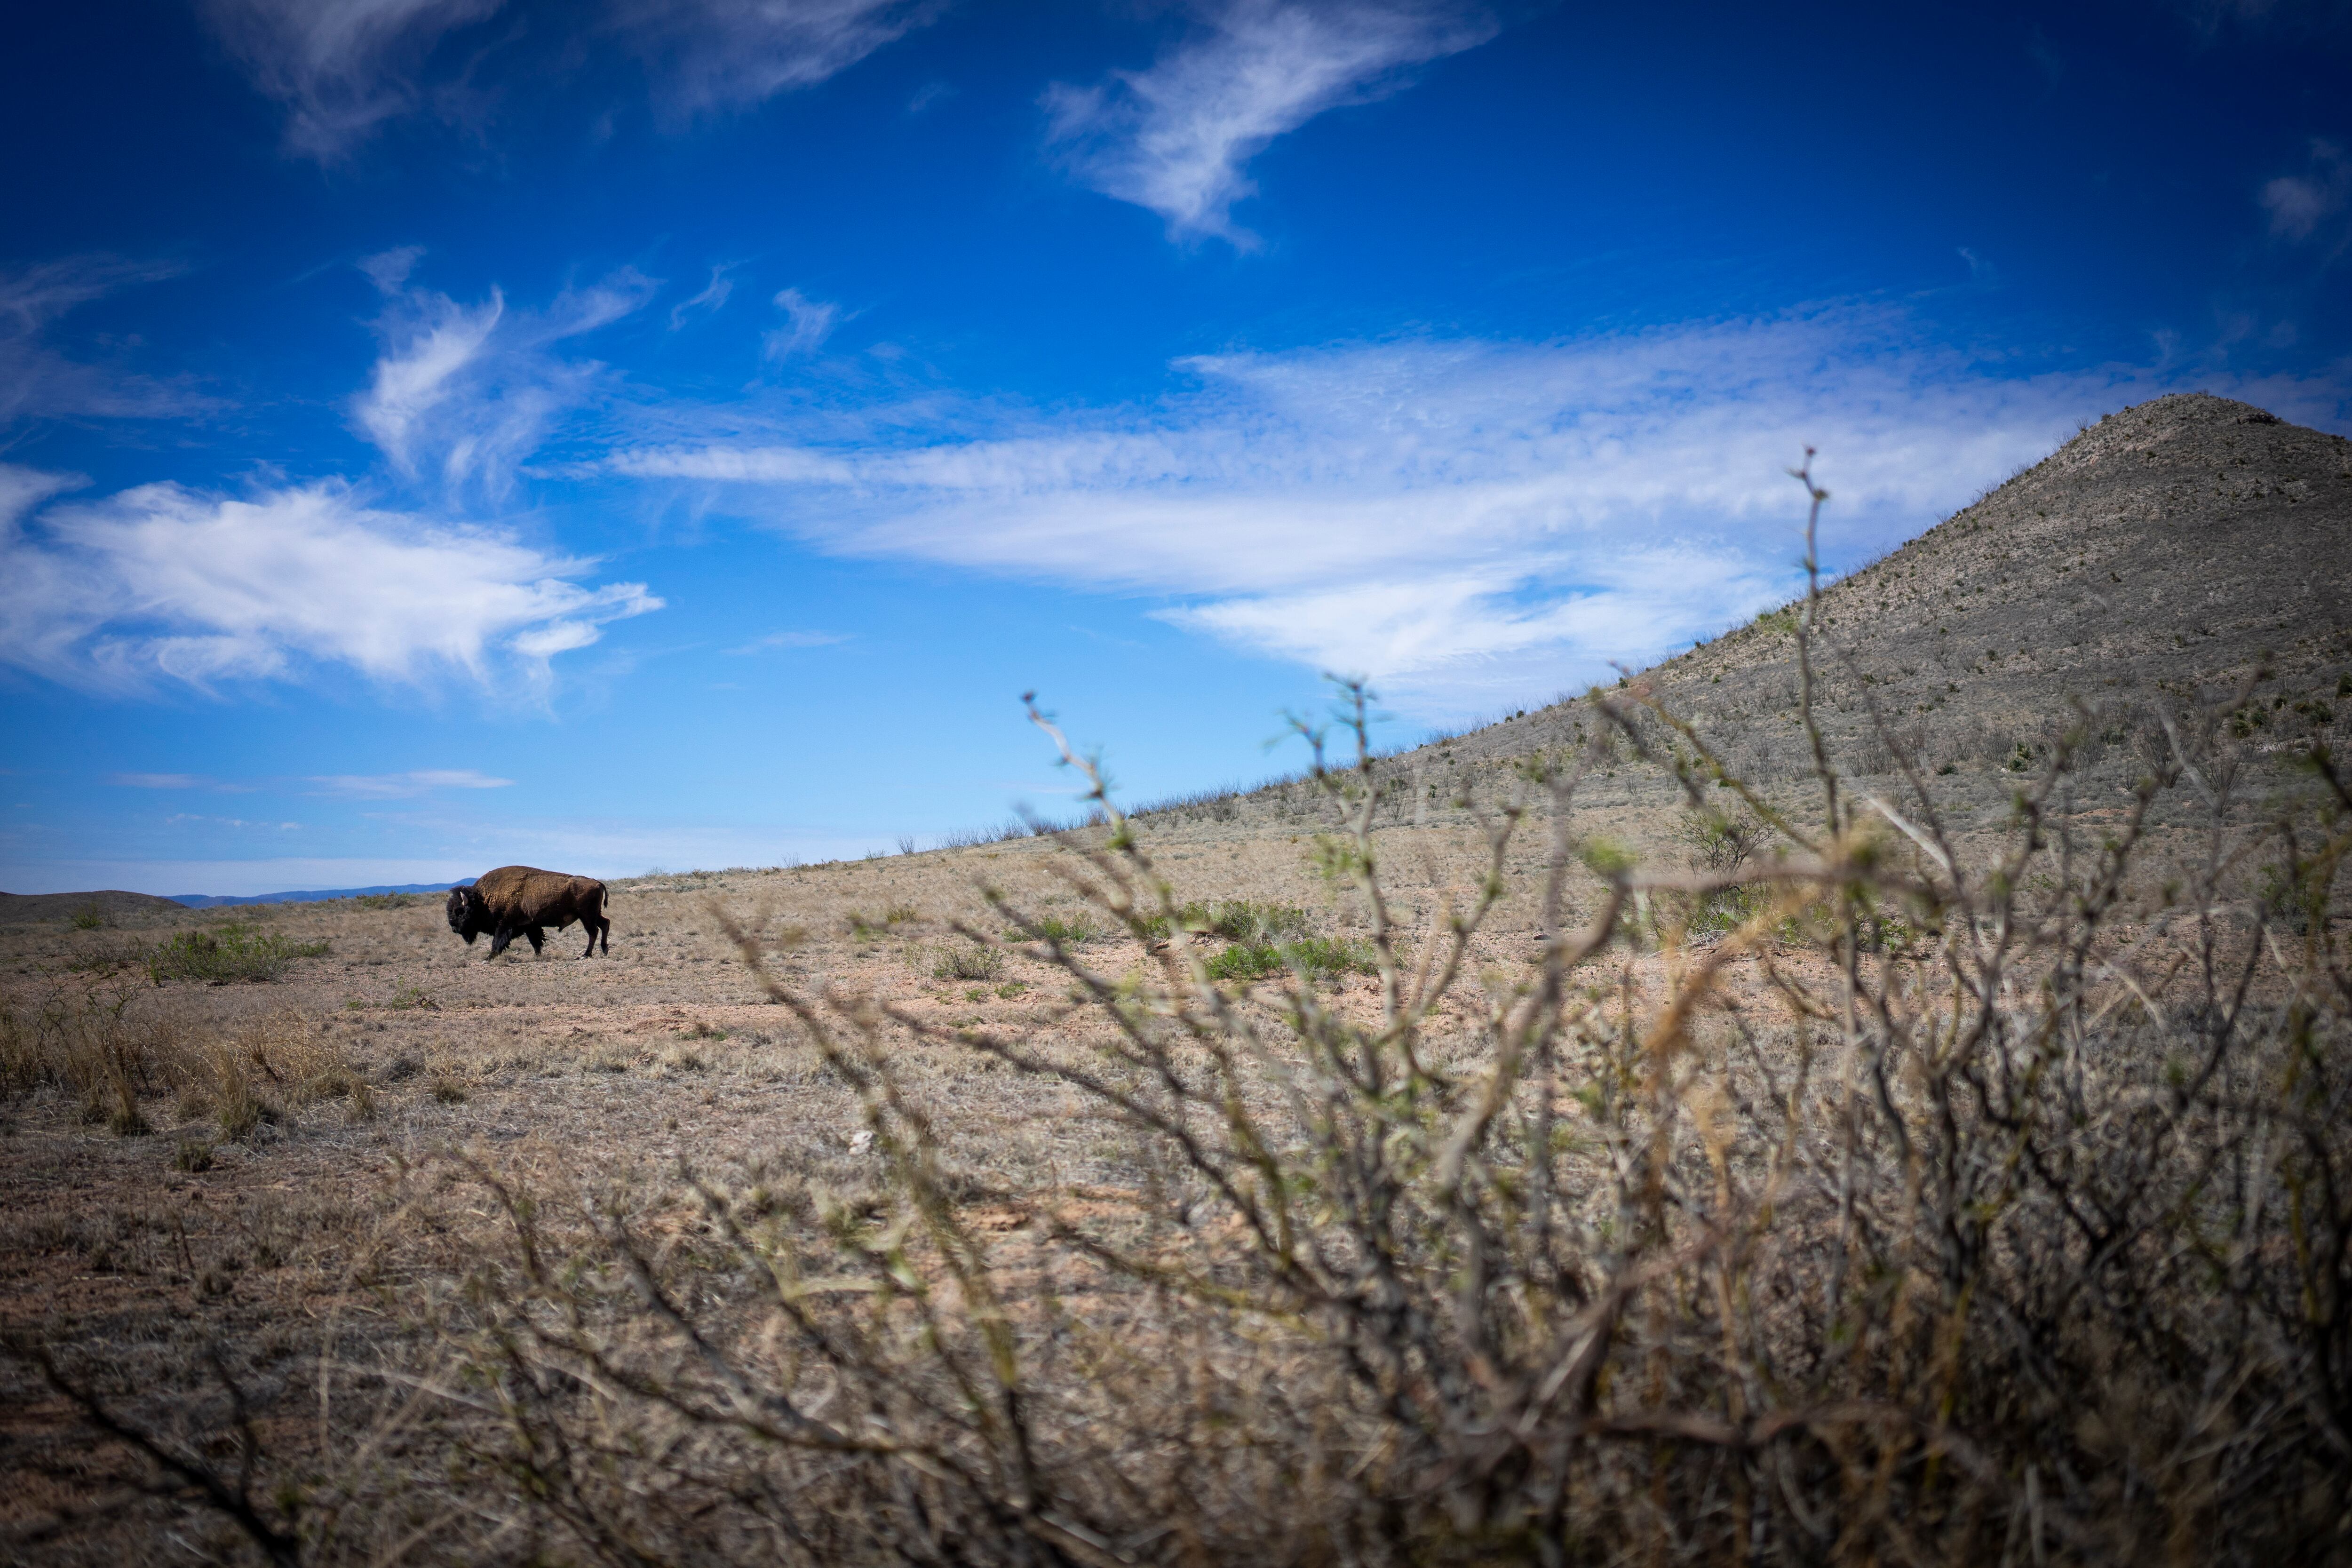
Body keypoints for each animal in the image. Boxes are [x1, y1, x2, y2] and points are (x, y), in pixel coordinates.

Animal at [449, 869, 612, 959]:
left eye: (460, 911)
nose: (454, 929)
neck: (484, 899)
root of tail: (597, 882)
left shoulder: (504, 925)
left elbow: (497, 942)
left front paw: (489, 958)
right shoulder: (529, 925)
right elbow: (536, 941)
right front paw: (538, 955)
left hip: (587, 916)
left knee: (593, 932)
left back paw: (586, 955)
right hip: (594, 915)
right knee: (605, 924)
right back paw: (604, 950)